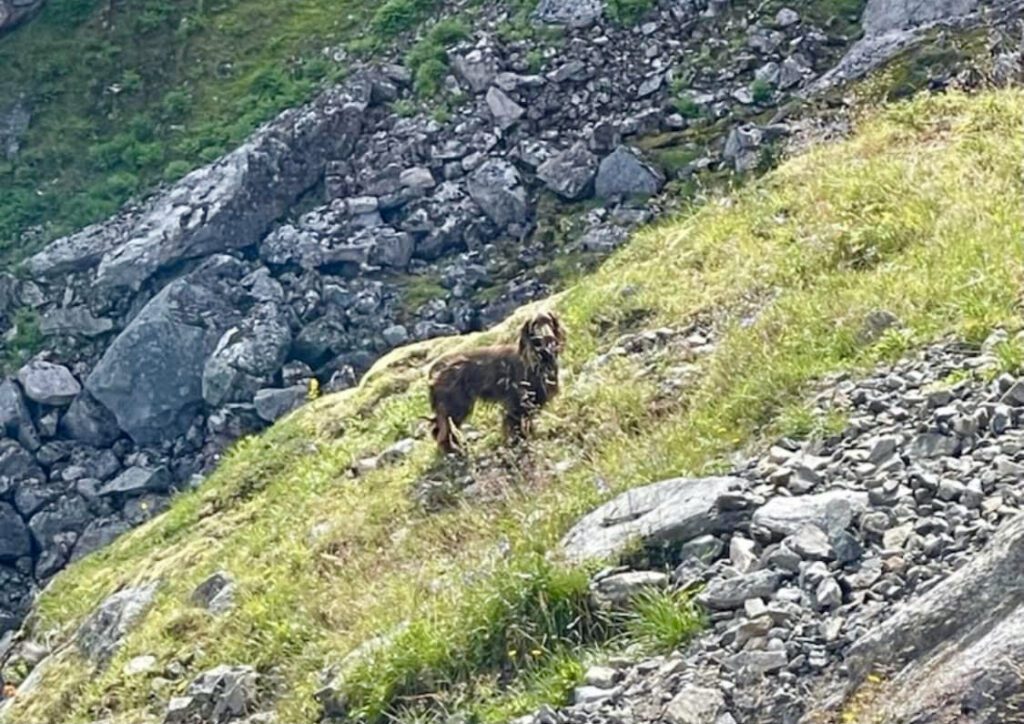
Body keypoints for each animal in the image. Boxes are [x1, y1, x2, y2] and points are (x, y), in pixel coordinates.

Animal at [425, 311, 565, 452]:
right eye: (534, 324)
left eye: (549, 321)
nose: (548, 339)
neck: (536, 360)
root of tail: (435, 367)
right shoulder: (516, 401)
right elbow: (515, 424)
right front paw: (518, 441)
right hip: (455, 405)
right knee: (443, 430)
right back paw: (452, 449)